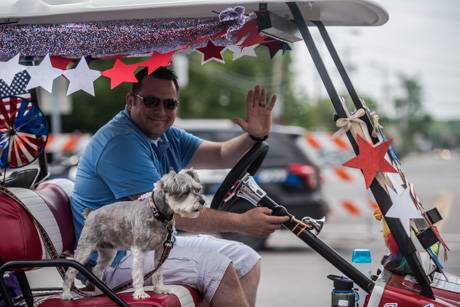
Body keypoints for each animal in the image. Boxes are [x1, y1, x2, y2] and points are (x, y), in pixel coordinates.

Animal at [62, 170, 206, 300]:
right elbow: (138, 273)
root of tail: (91, 214)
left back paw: (99, 292)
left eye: (198, 189)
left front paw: (160, 289)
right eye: (185, 191)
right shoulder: (139, 250)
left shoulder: (161, 250)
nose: (203, 201)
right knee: (70, 272)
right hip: (84, 250)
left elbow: (158, 272)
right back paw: (66, 294)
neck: (157, 213)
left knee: (97, 270)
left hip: (108, 253)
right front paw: (140, 293)